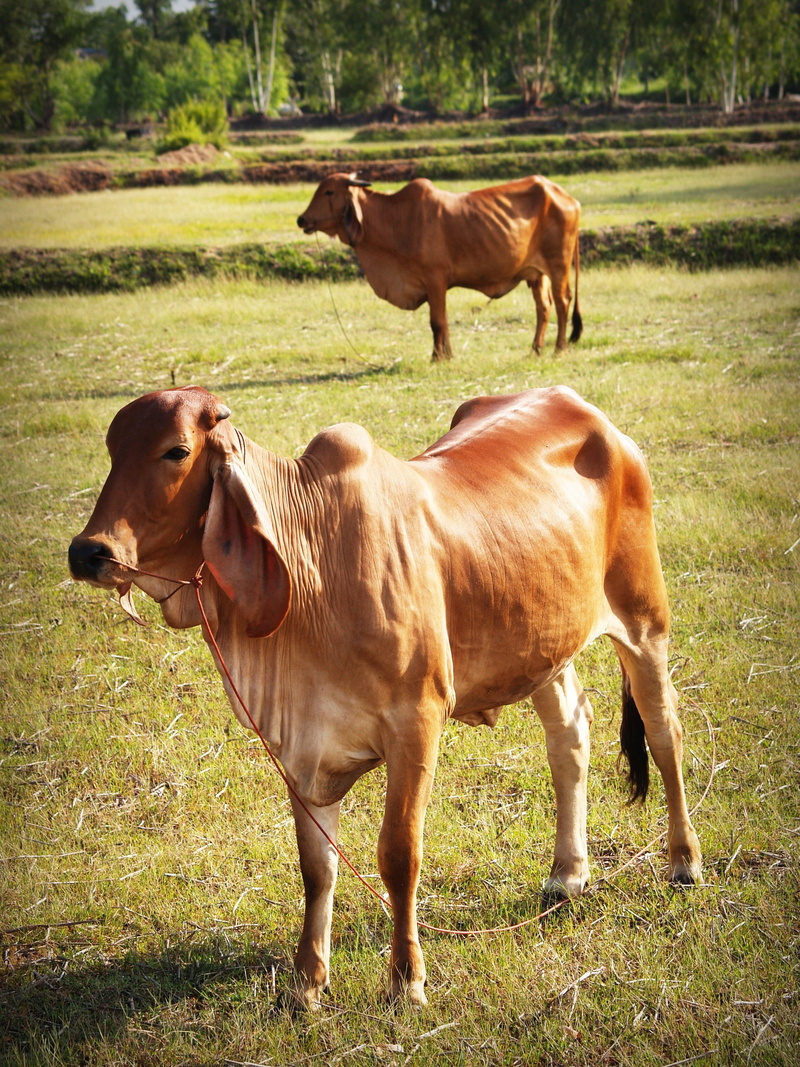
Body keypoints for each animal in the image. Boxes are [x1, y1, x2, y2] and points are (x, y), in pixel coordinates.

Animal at [68, 385, 701, 1009]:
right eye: (111, 448)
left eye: (176, 451)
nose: (88, 552)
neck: (314, 562)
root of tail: (585, 408)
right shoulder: (299, 743)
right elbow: (317, 866)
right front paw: (307, 981)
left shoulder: (417, 722)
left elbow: (399, 855)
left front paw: (406, 979)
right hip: (542, 647)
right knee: (570, 734)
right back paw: (568, 873)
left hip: (644, 620)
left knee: (664, 731)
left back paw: (684, 861)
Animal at [297, 173, 582, 361]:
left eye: (329, 192)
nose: (302, 219)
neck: (394, 219)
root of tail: (567, 196)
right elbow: (442, 322)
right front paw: (447, 354)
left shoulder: (435, 281)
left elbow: (437, 322)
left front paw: (438, 357)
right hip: (536, 275)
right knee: (543, 307)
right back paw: (535, 349)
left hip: (558, 265)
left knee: (562, 302)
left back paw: (559, 348)